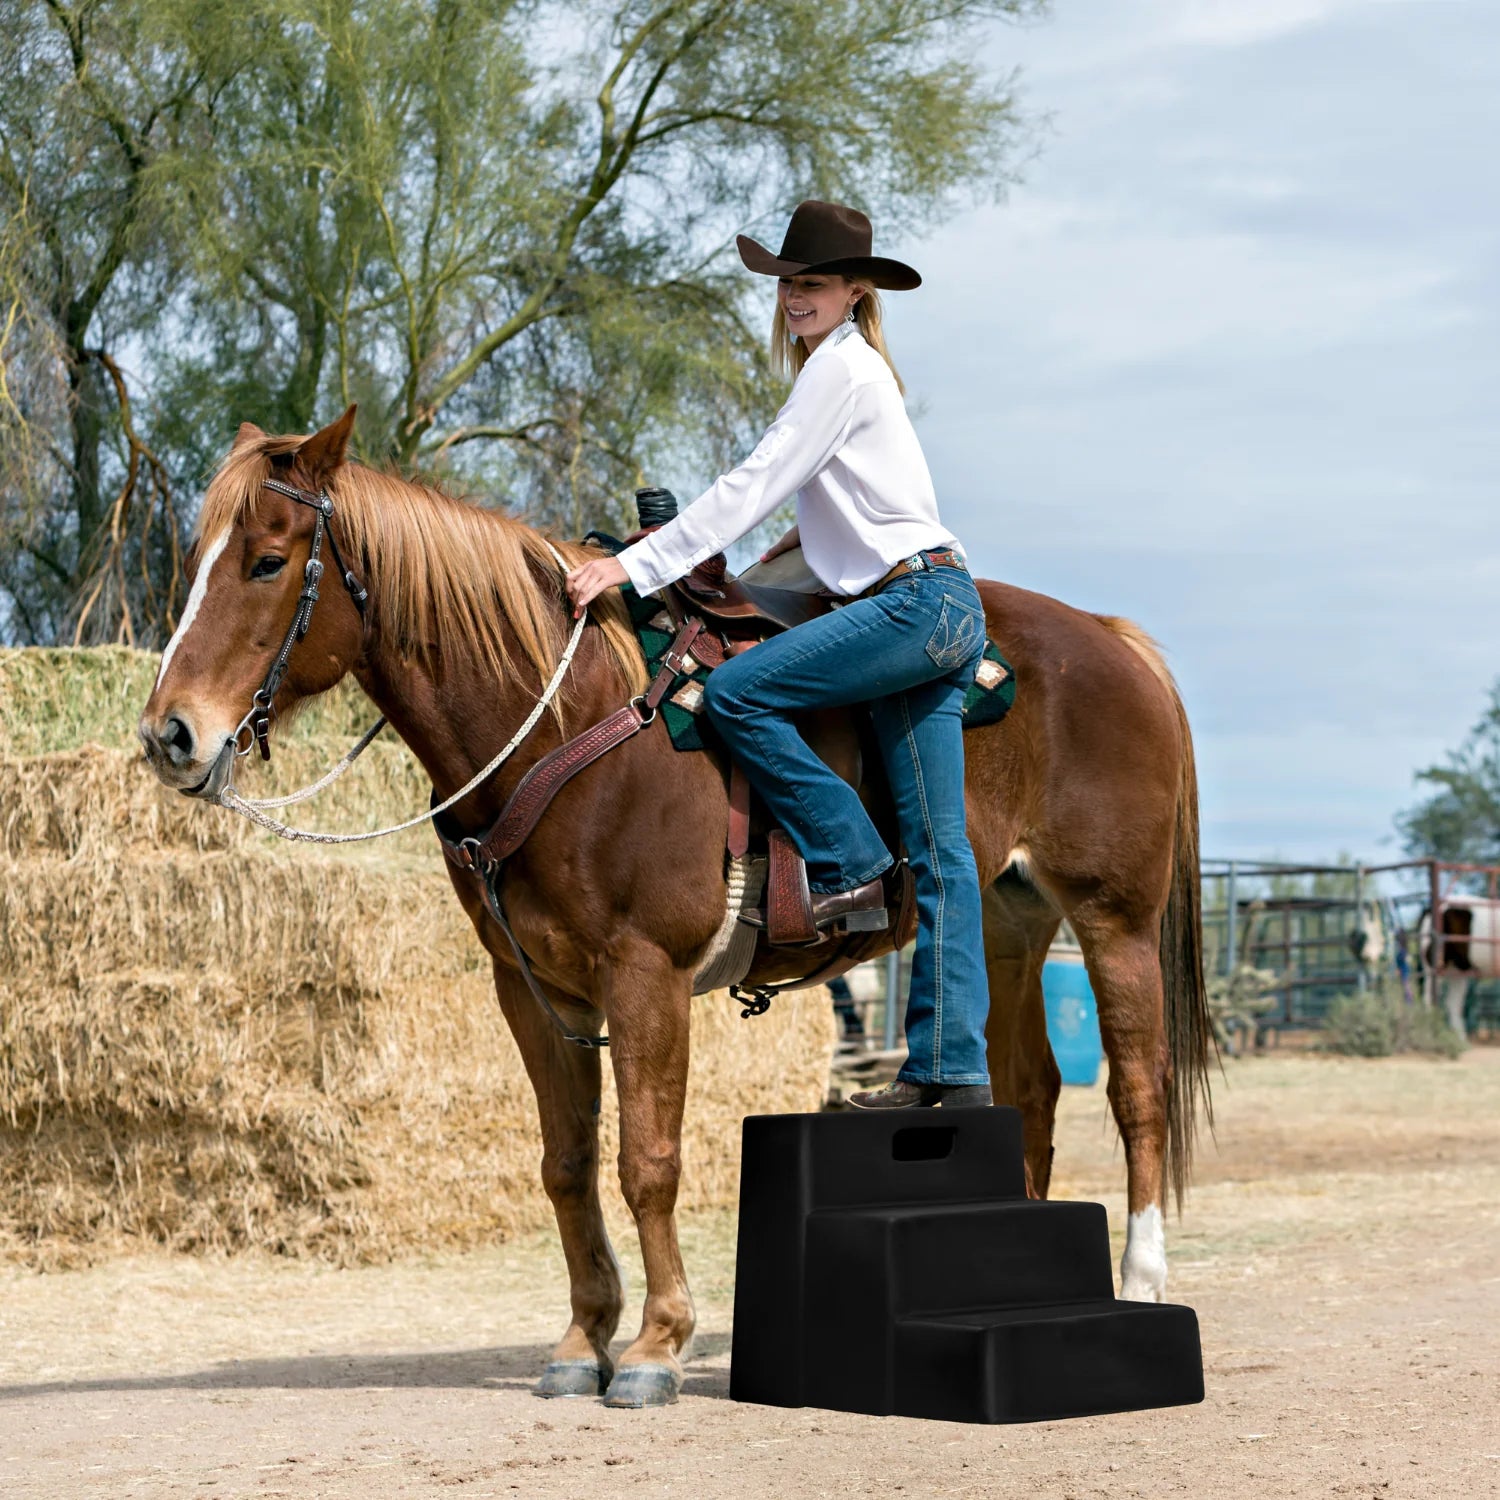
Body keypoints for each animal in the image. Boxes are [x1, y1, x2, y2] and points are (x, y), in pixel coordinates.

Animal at [141, 411, 1212, 1404]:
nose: (170, 735)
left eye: (269, 560)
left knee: (1137, 1089)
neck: (567, 718)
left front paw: (658, 1346)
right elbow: (567, 1163)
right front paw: (583, 1342)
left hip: (1113, 917)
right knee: (1033, 1089)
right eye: (195, 562)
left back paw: (1141, 1278)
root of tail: (1111, 640)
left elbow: (646, 1159)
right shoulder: (532, 990)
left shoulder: (643, 972)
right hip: (1006, 923)